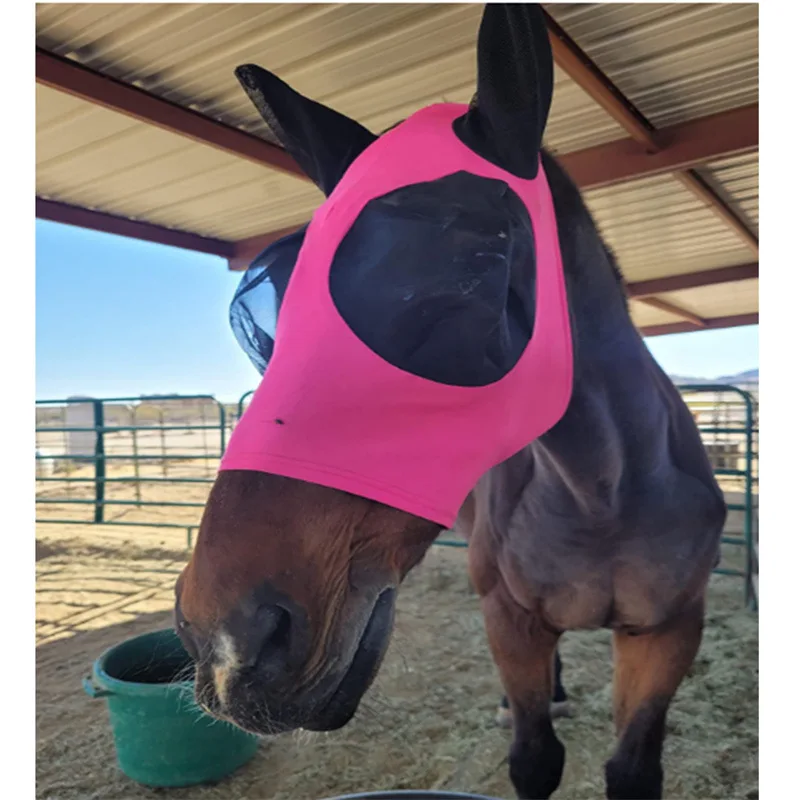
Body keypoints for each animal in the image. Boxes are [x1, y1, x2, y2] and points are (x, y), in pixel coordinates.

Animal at [175, 5, 725, 798]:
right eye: (263, 321)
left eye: (470, 274)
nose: (226, 641)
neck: (604, 493)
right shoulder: (512, 621)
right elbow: (534, 756)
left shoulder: (669, 631)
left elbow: (630, 768)